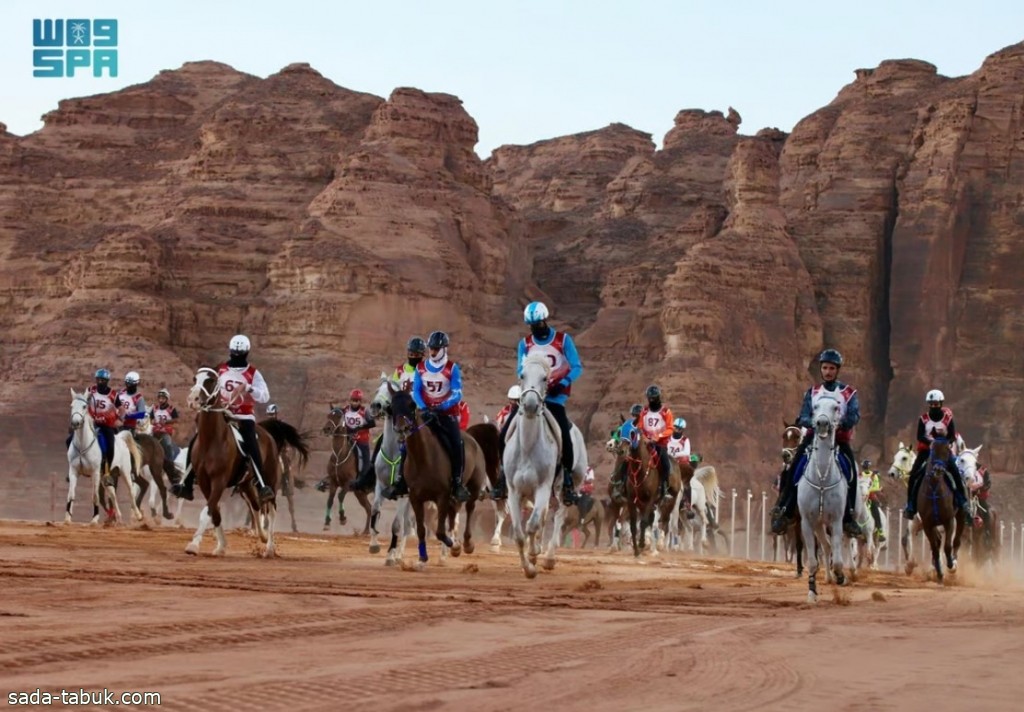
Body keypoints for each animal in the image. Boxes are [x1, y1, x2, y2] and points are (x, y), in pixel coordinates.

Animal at [67, 389, 145, 524]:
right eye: (72, 406)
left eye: (84, 406)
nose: (75, 423)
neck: (83, 445)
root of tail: (120, 438)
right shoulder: (73, 471)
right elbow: (71, 495)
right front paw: (67, 518)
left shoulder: (95, 472)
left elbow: (95, 496)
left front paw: (94, 519)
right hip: (106, 475)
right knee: (112, 493)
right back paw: (118, 517)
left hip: (124, 471)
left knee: (130, 490)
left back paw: (138, 515)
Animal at [182, 370, 307, 561]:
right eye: (195, 379)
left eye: (210, 380)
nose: (193, 399)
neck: (212, 440)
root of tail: (268, 433)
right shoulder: (204, 482)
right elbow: (215, 512)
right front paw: (221, 547)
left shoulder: (219, 481)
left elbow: (207, 511)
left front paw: (193, 545)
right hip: (246, 484)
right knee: (255, 506)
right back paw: (261, 536)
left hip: (270, 482)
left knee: (271, 509)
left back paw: (269, 548)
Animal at [385, 381, 487, 569]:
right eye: (391, 407)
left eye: (411, 405)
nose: (402, 428)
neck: (423, 458)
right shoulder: (416, 498)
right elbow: (421, 529)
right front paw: (423, 557)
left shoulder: (442, 496)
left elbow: (440, 531)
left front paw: (453, 544)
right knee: (454, 513)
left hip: (474, 486)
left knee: (470, 508)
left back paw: (466, 543)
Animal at [501, 352, 589, 577]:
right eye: (522, 375)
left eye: (545, 378)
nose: (531, 405)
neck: (528, 447)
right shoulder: (514, 491)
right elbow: (519, 533)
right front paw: (528, 565)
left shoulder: (543, 487)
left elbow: (532, 525)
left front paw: (533, 561)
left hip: (569, 485)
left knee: (558, 516)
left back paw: (549, 557)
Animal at [794, 395, 851, 602]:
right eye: (815, 406)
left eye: (836, 407)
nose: (822, 423)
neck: (821, 480)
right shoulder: (806, 521)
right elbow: (812, 561)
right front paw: (812, 592)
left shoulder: (836, 520)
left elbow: (840, 561)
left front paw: (841, 577)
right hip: (818, 524)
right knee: (826, 546)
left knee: (830, 546)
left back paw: (834, 577)